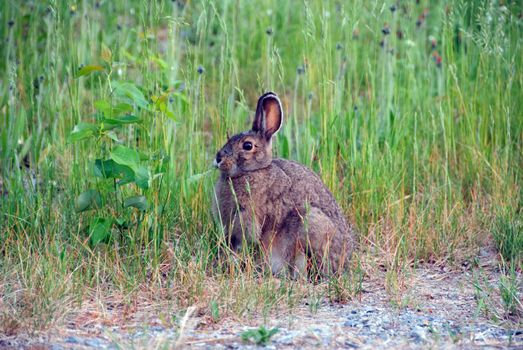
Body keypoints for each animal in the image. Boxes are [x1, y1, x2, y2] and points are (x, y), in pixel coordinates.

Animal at [213, 92, 356, 276]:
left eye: (247, 145)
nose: (218, 158)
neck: (252, 171)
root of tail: (343, 262)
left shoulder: (247, 220)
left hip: (309, 225)